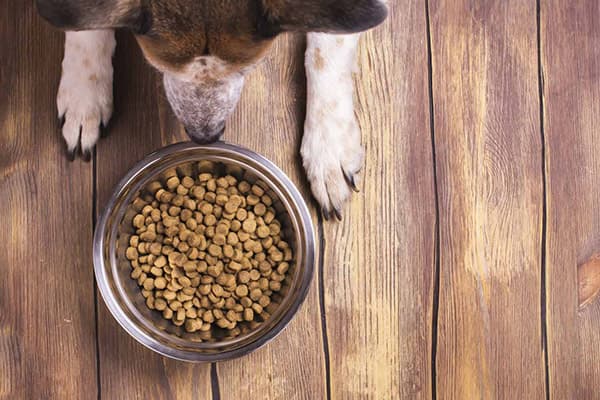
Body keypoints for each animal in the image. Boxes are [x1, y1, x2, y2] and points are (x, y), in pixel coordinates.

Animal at [36, 0, 390, 219]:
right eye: (158, 66)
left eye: (248, 69)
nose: (205, 136)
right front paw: (84, 92)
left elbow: (328, 47)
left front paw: (328, 149)